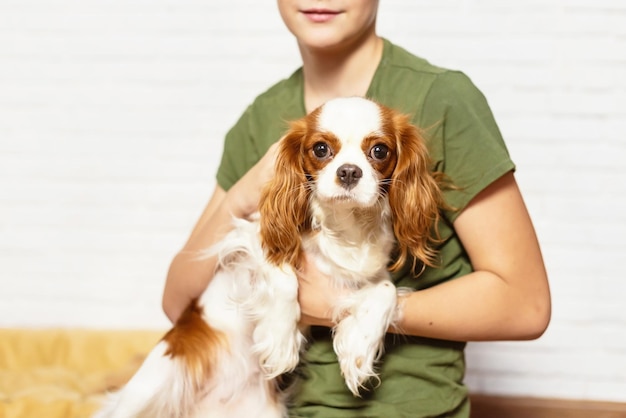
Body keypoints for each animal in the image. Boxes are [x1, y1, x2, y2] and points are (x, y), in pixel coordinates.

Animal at [94, 96, 444, 416]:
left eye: (380, 151)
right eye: (320, 149)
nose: (348, 172)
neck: (345, 224)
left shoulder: (370, 274)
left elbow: (385, 292)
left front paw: (358, 350)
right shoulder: (254, 235)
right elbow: (283, 277)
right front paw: (281, 342)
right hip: (150, 388)